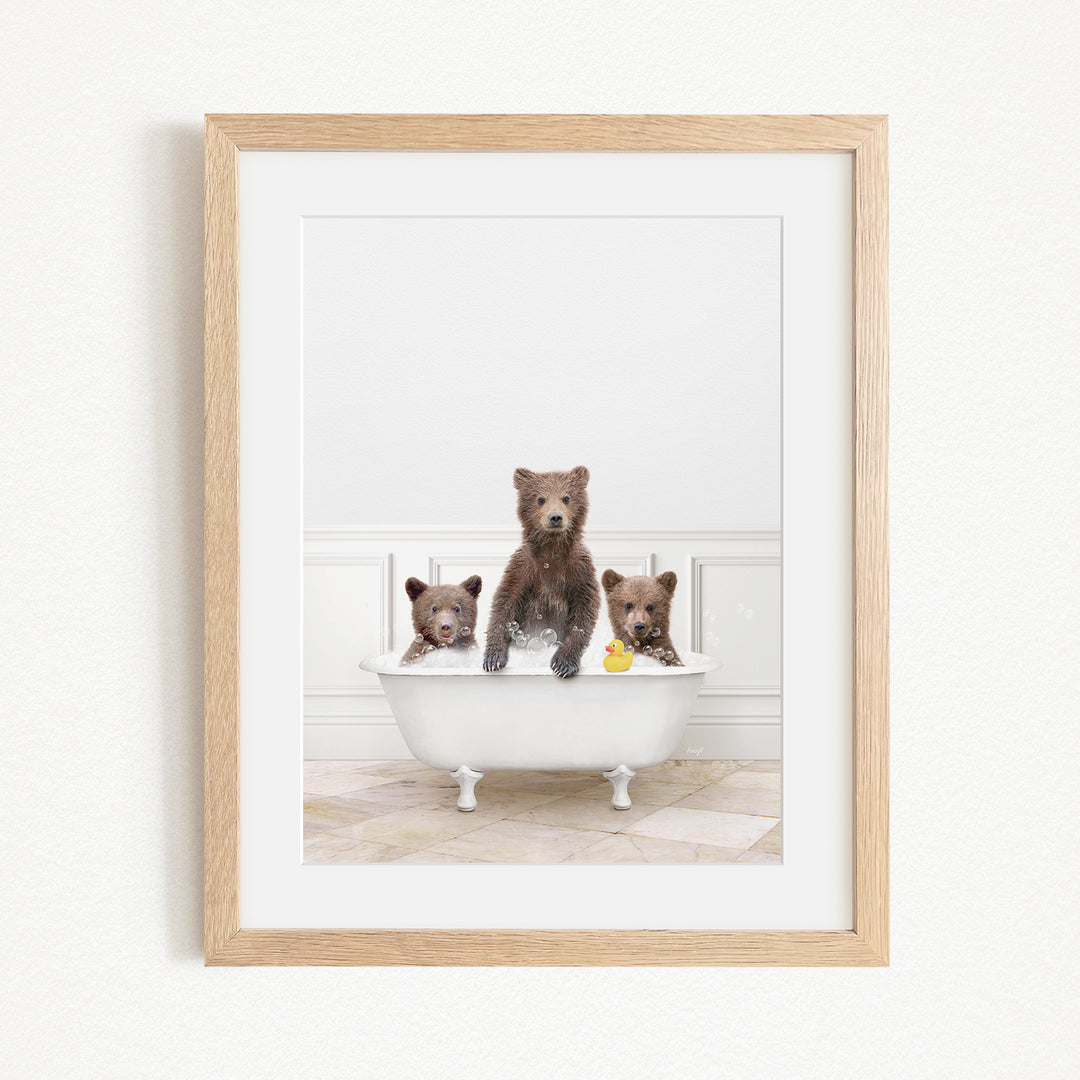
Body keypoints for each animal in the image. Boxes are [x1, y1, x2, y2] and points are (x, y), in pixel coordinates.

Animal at [483, 466, 599, 678]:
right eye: (540, 499)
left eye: (566, 497)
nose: (555, 517)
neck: (552, 551)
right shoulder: (523, 567)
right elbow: (505, 602)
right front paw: (493, 658)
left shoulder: (579, 569)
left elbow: (584, 611)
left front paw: (563, 664)